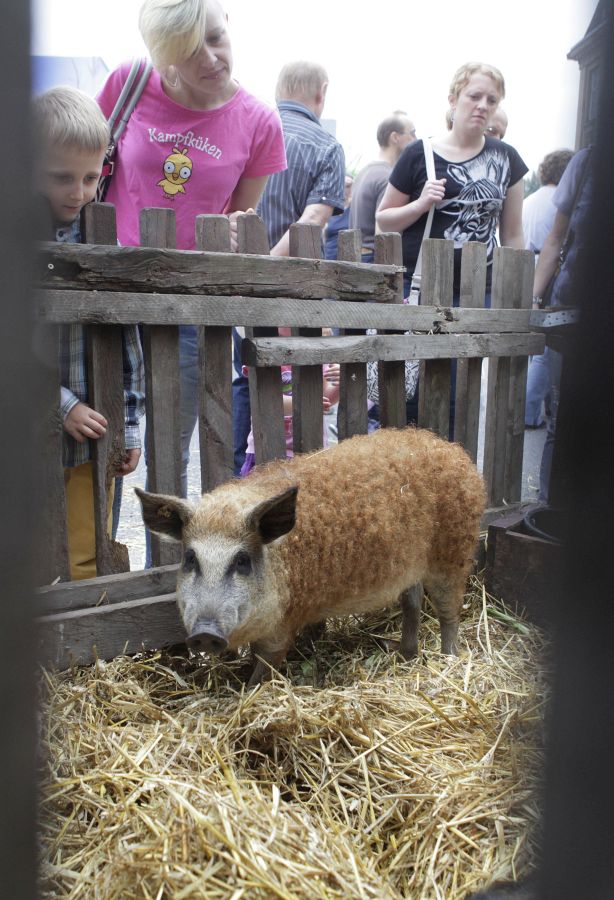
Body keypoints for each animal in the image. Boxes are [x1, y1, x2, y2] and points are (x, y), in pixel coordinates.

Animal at [137, 427, 486, 683]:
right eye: (190, 558)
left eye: (242, 560)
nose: (205, 634)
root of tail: (455, 451)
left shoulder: (283, 625)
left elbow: (266, 667)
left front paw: (249, 692)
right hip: (411, 567)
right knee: (412, 603)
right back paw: (405, 655)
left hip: (453, 554)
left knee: (449, 612)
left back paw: (449, 660)